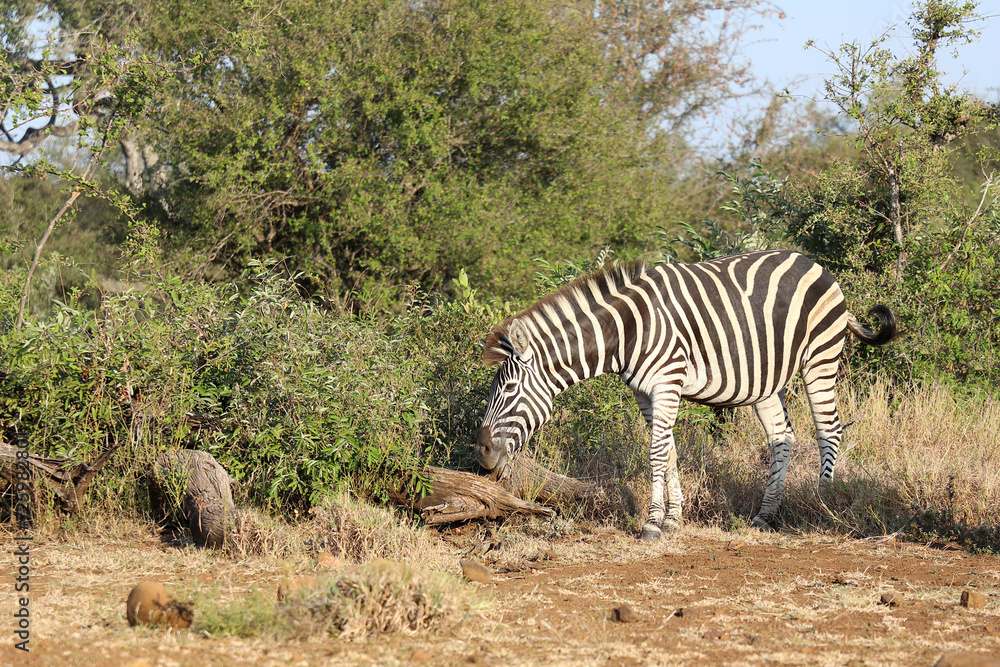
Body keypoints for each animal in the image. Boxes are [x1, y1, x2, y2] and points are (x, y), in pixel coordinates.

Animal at [475, 249, 896, 540]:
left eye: (508, 388)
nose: (480, 452)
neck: (627, 331)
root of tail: (813, 263)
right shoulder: (645, 393)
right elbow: (670, 451)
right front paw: (673, 519)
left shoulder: (668, 382)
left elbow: (657, 453)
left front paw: (651, 523)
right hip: (766, 378)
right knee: (782, 437)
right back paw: (766, 514)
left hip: (820, 357)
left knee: (829, 430)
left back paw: (822, 506)